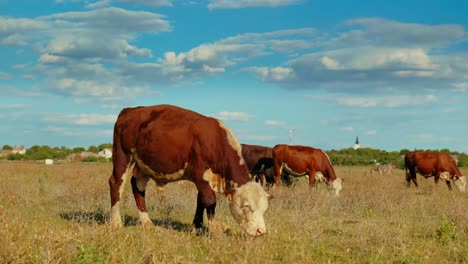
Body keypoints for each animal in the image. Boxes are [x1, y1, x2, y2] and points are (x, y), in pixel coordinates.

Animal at [109, 104, 270, 236]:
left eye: (264, 208)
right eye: (247, 206)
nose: (261, 231)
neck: (215, 142)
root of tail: (130, 110)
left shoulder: (204, 180)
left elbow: (201, 201)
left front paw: (197, 227)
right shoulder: (201, 175)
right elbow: (210, 201)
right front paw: (213, 228)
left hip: (144, 163)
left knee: (138, 185)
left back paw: (147, 223)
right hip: (122, 154)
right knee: (116, 183)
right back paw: (116, 223)